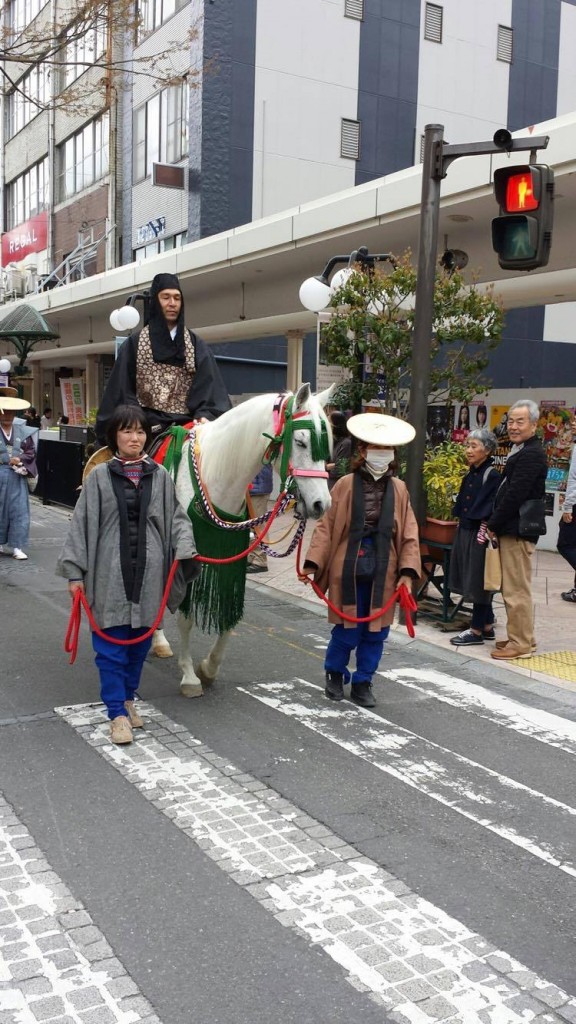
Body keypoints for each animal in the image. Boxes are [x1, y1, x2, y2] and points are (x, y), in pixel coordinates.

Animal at [150, 385, 334, 696]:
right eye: (300, 442)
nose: (322, 504)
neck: (216, 475)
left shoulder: (231, 557)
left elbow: (229, 614)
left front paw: (209, 668)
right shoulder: (187, 559)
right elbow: (186, 619)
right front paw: (189, 676)